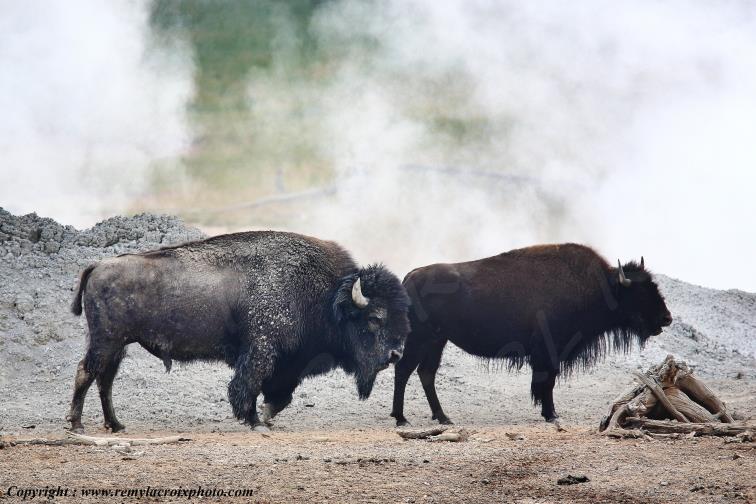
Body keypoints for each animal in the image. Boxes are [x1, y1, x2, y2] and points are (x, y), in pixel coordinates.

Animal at [67, 231, 410, 432]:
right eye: (375, 318)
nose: (396, 354)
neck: (326, 295)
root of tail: (97, 265)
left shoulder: (288, 362)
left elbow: (280, 393)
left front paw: (266, 416)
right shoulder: (262, 350)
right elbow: (248, 385)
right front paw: (256, 421)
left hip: (118, 345)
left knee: (105, 380)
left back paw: (116, 425)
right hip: (106, 341)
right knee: (87, 372)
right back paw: (77, 425)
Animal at [391, 243, 672, 429]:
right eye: (641, 292)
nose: (666, 318)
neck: (601, 287)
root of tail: (410, 277)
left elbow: (545, 382)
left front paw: (549, 413)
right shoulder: (548, 353)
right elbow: (547, 382)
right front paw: (551, 414)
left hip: (437, 341)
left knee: (425, 373)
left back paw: (443, 417)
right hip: (420, 339)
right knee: (404, 370)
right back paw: (402, 418)